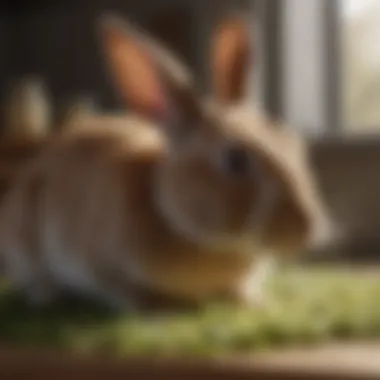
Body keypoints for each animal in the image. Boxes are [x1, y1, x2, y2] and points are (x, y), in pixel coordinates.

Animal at [0, 14, 332, 312]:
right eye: (235, 160)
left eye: (292, 143)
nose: (307, 227)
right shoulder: (99, 264)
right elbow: (127, 292)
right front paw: (160, 308)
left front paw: (257, 303)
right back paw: (46, 296)